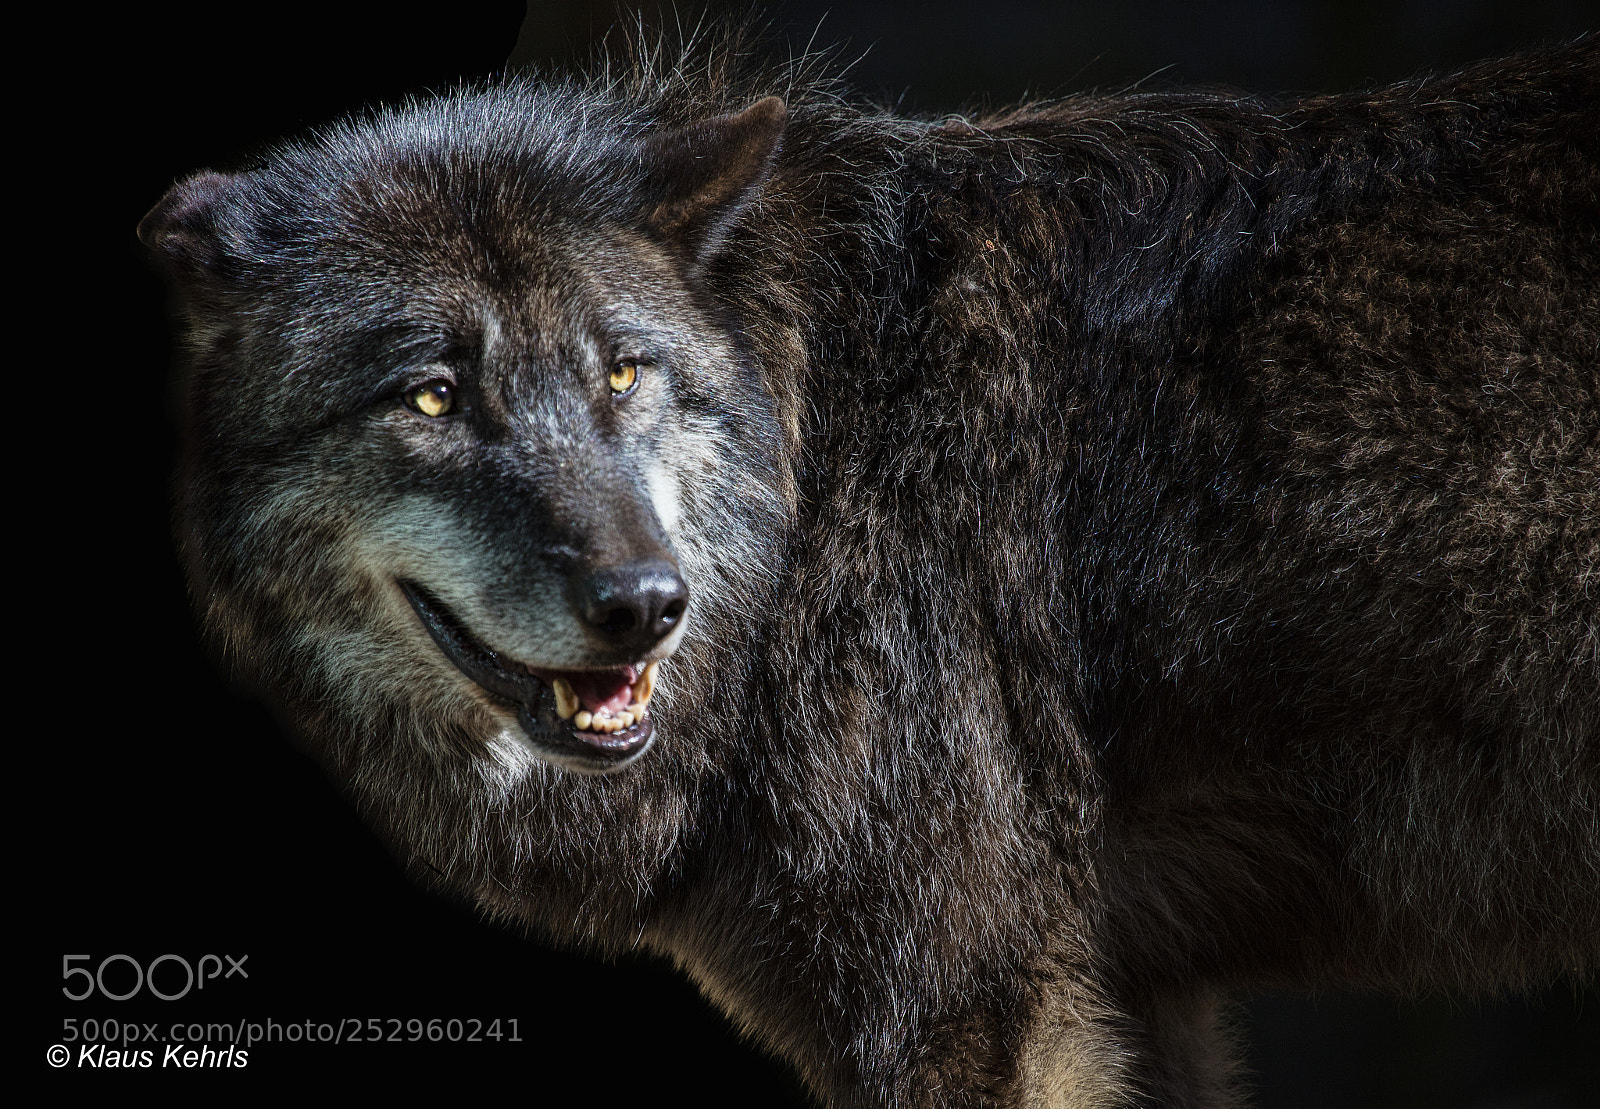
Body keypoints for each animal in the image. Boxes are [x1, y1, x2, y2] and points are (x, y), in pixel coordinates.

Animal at [139, 28, 1597, 1108]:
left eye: (622, 372)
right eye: (434, 397)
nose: (645, 605)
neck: (823, 470)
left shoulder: (972, 1010)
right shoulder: (1130, 995)